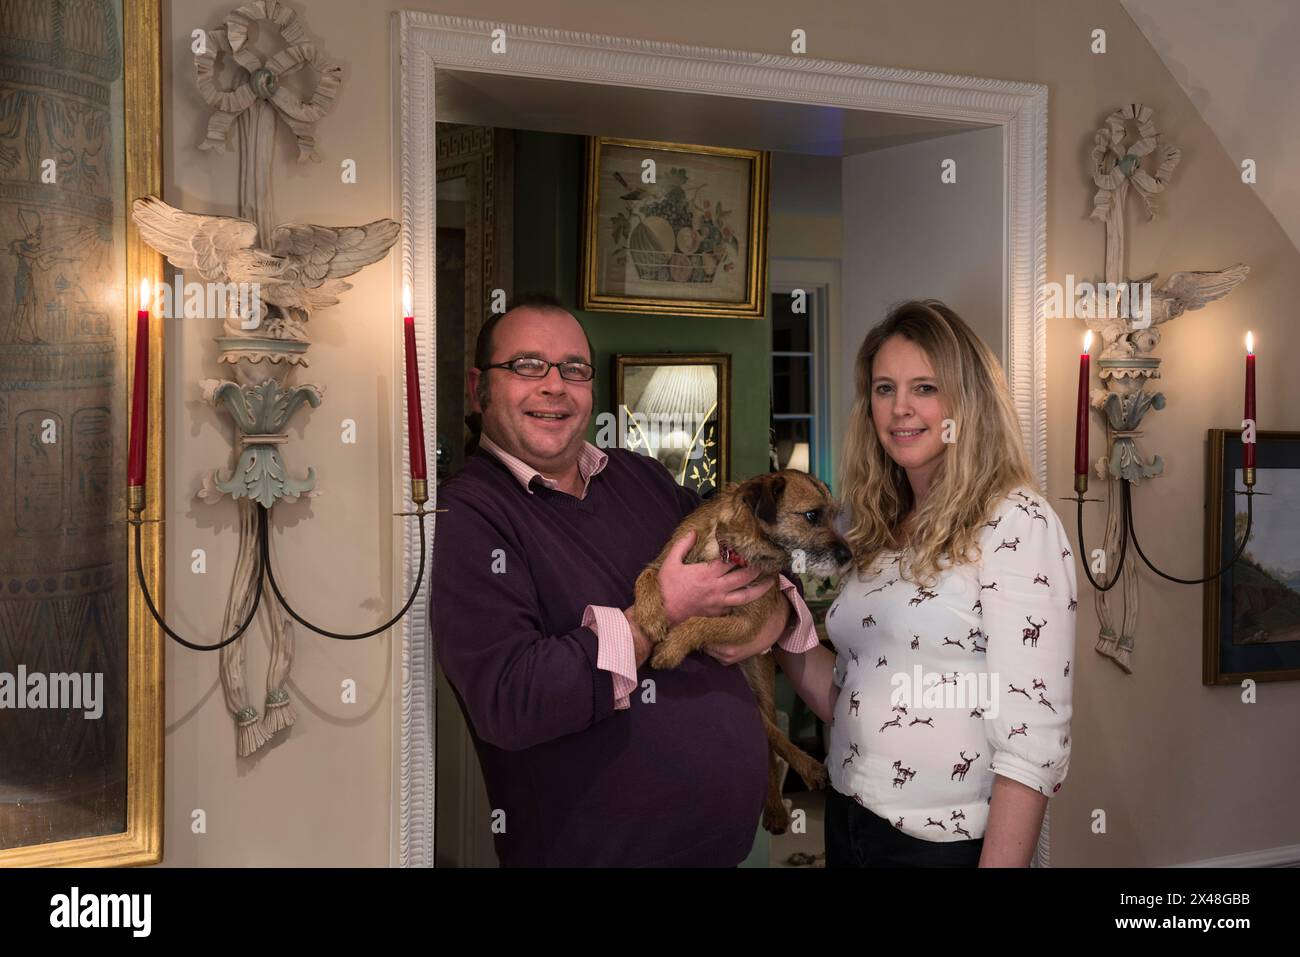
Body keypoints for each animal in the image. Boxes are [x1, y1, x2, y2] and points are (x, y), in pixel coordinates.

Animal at [631, 468, 852, 832]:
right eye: (812, 516)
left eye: (834, 515)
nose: (849, 556)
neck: (730, 549)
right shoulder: (662, 564)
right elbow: (645, 576)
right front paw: (650, 616)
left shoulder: (748, 624)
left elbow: (701, 623)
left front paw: (671, 648)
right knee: (768, 734)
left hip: (762, 688)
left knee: (771, 745)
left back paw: (793, 788)